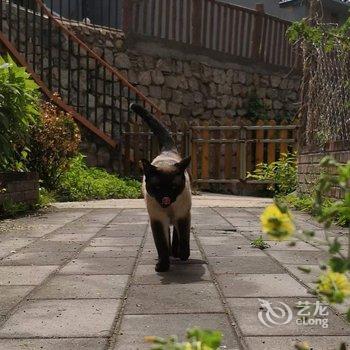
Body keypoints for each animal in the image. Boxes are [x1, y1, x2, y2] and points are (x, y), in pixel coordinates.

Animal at [131, 104, 191, 274]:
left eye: (173, 187)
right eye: (157, 187)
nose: (165, 197)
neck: (168, 209)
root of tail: (167, 151)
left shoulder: (183, 216)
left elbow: (184, 238)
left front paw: (182, 255)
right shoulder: (158, 220)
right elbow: (162, 245)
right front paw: (163, 266)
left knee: (177, 235)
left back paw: (177, 253)